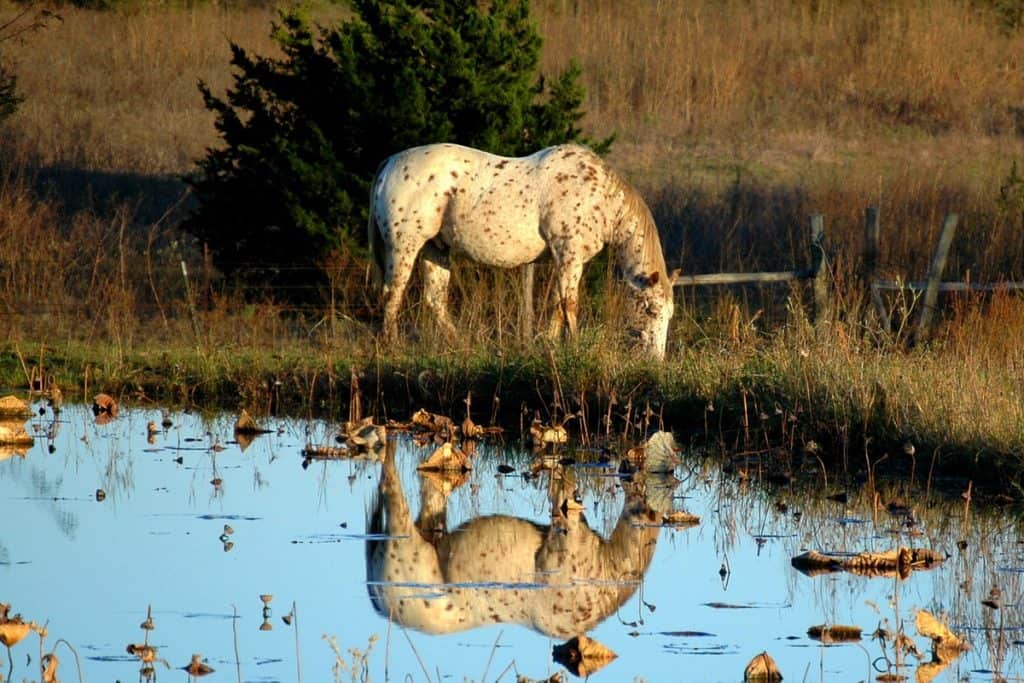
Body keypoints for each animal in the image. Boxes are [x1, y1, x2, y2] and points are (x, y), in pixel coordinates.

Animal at [367, 143, 678, 359]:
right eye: (651, 311)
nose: (656, 359)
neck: (598, 197)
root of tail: (388, 164)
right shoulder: (569, 255)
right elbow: (569, 304)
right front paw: (575, 346)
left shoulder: (563, 259)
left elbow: (556, 304)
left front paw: (550, 345)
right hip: (405, 245)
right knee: (393, 293)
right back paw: (392, 345)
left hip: (436, 248)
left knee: (435, 299)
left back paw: (460, 345)